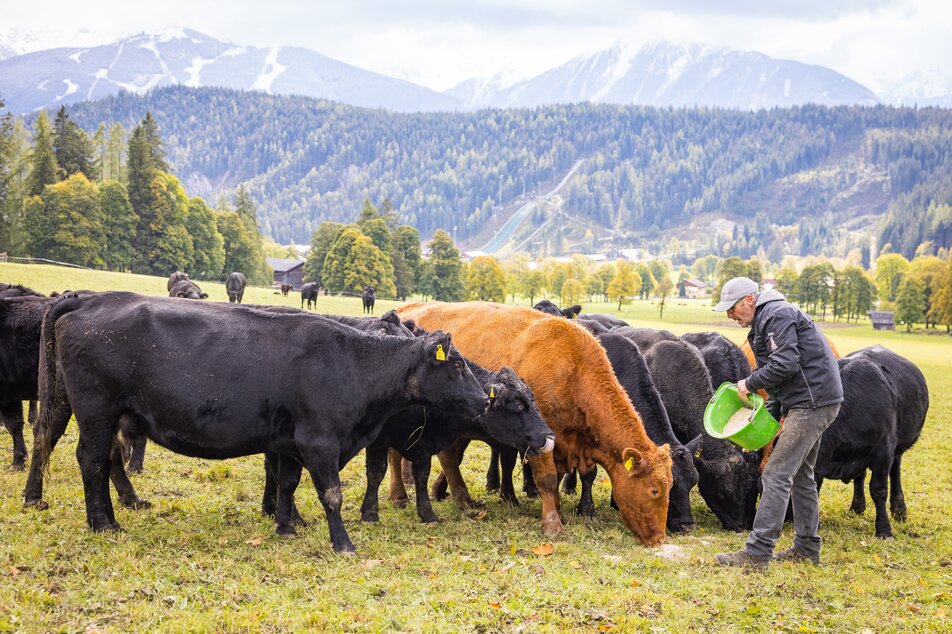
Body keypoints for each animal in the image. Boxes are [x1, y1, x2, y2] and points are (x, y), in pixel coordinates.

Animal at [32, 288, 488, 552]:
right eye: (457, 364)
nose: (485, 398)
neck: (352, 362)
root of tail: (88, 299)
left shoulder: (287, 441)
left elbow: (286, 482)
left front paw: (285, 526)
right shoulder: (320, 440)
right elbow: (331, 494)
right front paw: (342, 543)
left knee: (102, 459)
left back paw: (108, 517)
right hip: (96, 409)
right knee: (91, 461)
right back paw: (102, 524)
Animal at [398, 300, 672, 544]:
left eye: (671, 486)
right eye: (654, 490)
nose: (659, 539)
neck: (572, 368)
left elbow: (563, 476)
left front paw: (559, 511)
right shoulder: (538, 438)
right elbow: (548, 479)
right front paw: (552, 523)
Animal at [820, 348, 928, 536]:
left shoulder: (883, 451)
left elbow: (879, 490)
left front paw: (884, 530)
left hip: (896, 449)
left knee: (895, 471)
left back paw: (899, 510)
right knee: (860, 476)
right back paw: (857, 507)